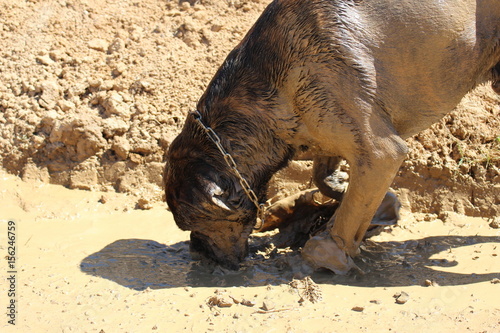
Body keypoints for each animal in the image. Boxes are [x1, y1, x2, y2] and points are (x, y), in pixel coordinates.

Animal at [165, 0, 500, 272]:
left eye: (194, 224)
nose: (196, 250)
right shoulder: (331, 132)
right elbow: (328, 180)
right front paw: (354, 196)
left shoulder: (381, 152)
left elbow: (347, 217)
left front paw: (329, 250)